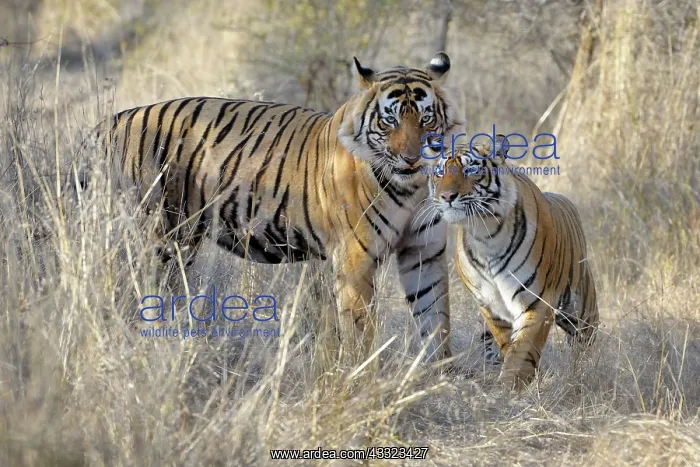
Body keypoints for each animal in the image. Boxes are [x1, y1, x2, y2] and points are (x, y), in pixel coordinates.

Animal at [76, 53, 463, 368]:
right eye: (390, 121)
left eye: (426, 120)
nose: (412, 159)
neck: (412, 188)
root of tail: (108, 123)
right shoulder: (356, 258)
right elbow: (360, 329)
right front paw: (363, 375)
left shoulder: (424, 251)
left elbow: (435, 316)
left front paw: (439, 375)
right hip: (156, 235)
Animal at [427, 134, 598, 389]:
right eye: (440, 172)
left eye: (471, 169)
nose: (446, 197)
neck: (485, 232)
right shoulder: (489, 305)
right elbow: (508, 343)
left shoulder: (537, 301)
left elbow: (522, 351)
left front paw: (510, 388)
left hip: (583, 312)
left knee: (585, 344)